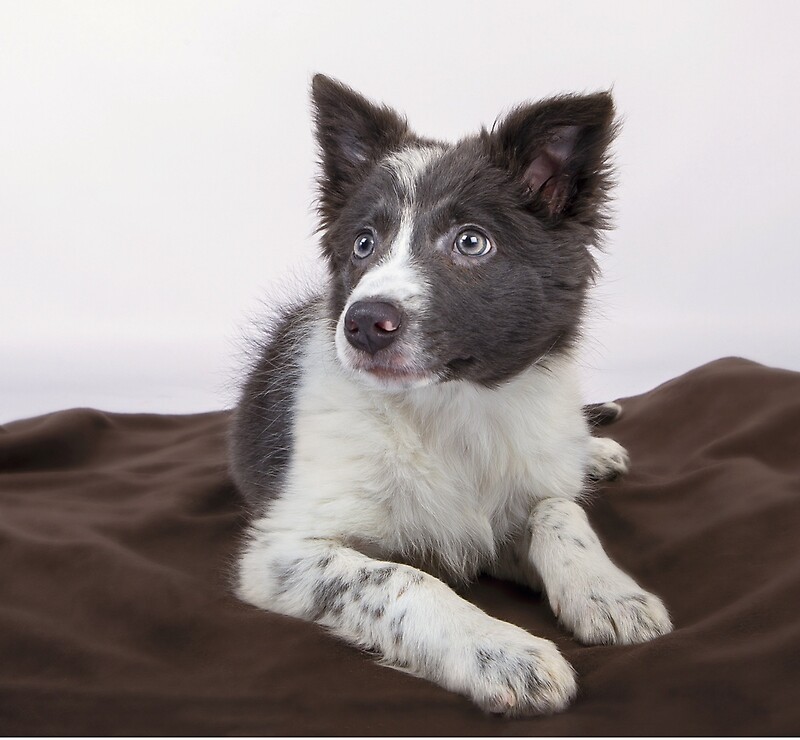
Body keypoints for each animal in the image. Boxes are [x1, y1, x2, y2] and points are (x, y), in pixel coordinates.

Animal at [228, 76, 672, 716]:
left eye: (471, 242)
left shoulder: (507, 507)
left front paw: (609, 594)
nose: (362, 325)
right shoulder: (281, 551)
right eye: (363, 244)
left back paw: (597, 452)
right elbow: (402, 579)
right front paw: (501, 652)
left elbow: (557, 509)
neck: (450, 407)